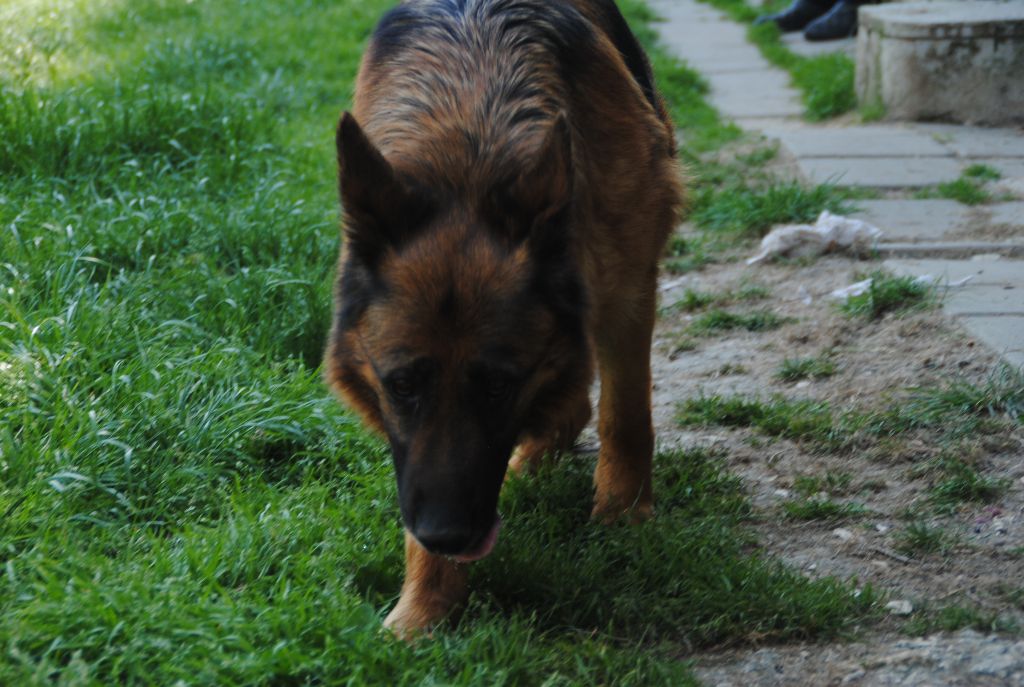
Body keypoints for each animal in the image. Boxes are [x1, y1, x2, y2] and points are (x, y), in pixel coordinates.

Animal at [323, 0, 684, 634]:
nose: (446, 535)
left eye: (498, 385)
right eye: (401, 385)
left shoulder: (628, 285)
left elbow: (625, 415)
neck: (469, 143)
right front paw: (424, 608)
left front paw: (624, 514)